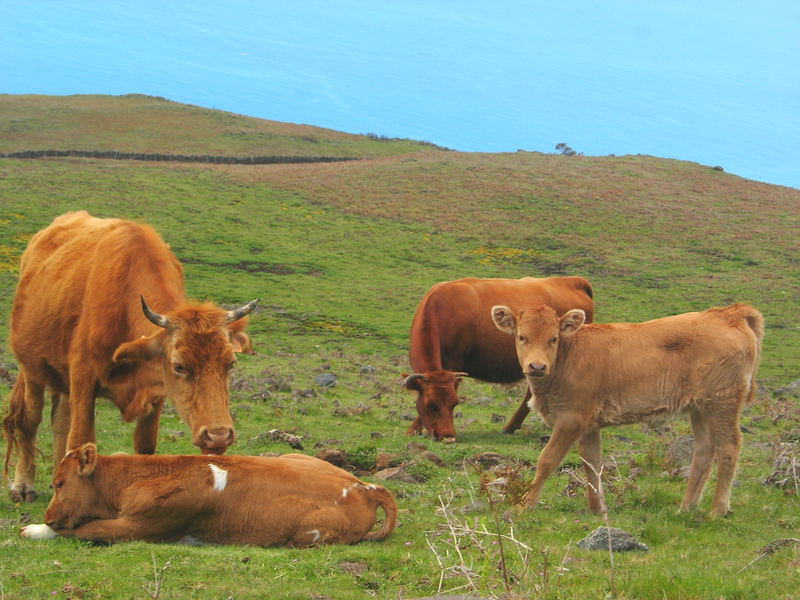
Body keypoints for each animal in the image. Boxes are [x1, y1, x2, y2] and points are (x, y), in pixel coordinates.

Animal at [2, 211, 256, 502]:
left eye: (231, 363)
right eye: (179, 366)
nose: (218, 436)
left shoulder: (154, 391)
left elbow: (144, 446)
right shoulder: (83, 378)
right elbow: (80, 438)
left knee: (59, 422)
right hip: (32, 369)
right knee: (30, 420)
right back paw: (24, 485)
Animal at [18, 440, 394, 548]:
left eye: (59, 483)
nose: (49, 516)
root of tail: (367, 487)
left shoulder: (139, 527)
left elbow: (83, 529)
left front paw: (34, 529)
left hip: (308, 535)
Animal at [404, 276, 592, 440]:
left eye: (454, 404)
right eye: (431, 405)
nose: (448, 437)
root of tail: (573, 281)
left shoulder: (453, 364)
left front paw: (413, 429)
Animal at [494, 304, 764, 516]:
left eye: (553, 338)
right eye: (522, 337)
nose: (537, 366)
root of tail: (728, 313)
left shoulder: (571, 419)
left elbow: (547, 460)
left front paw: (525, 505)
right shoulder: (589, 423)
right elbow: (592, 462)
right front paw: (598, 509)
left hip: (722, 402)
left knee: (729, 447)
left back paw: (718, 509)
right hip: (699, 407)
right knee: (705, 450)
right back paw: (686, 508)